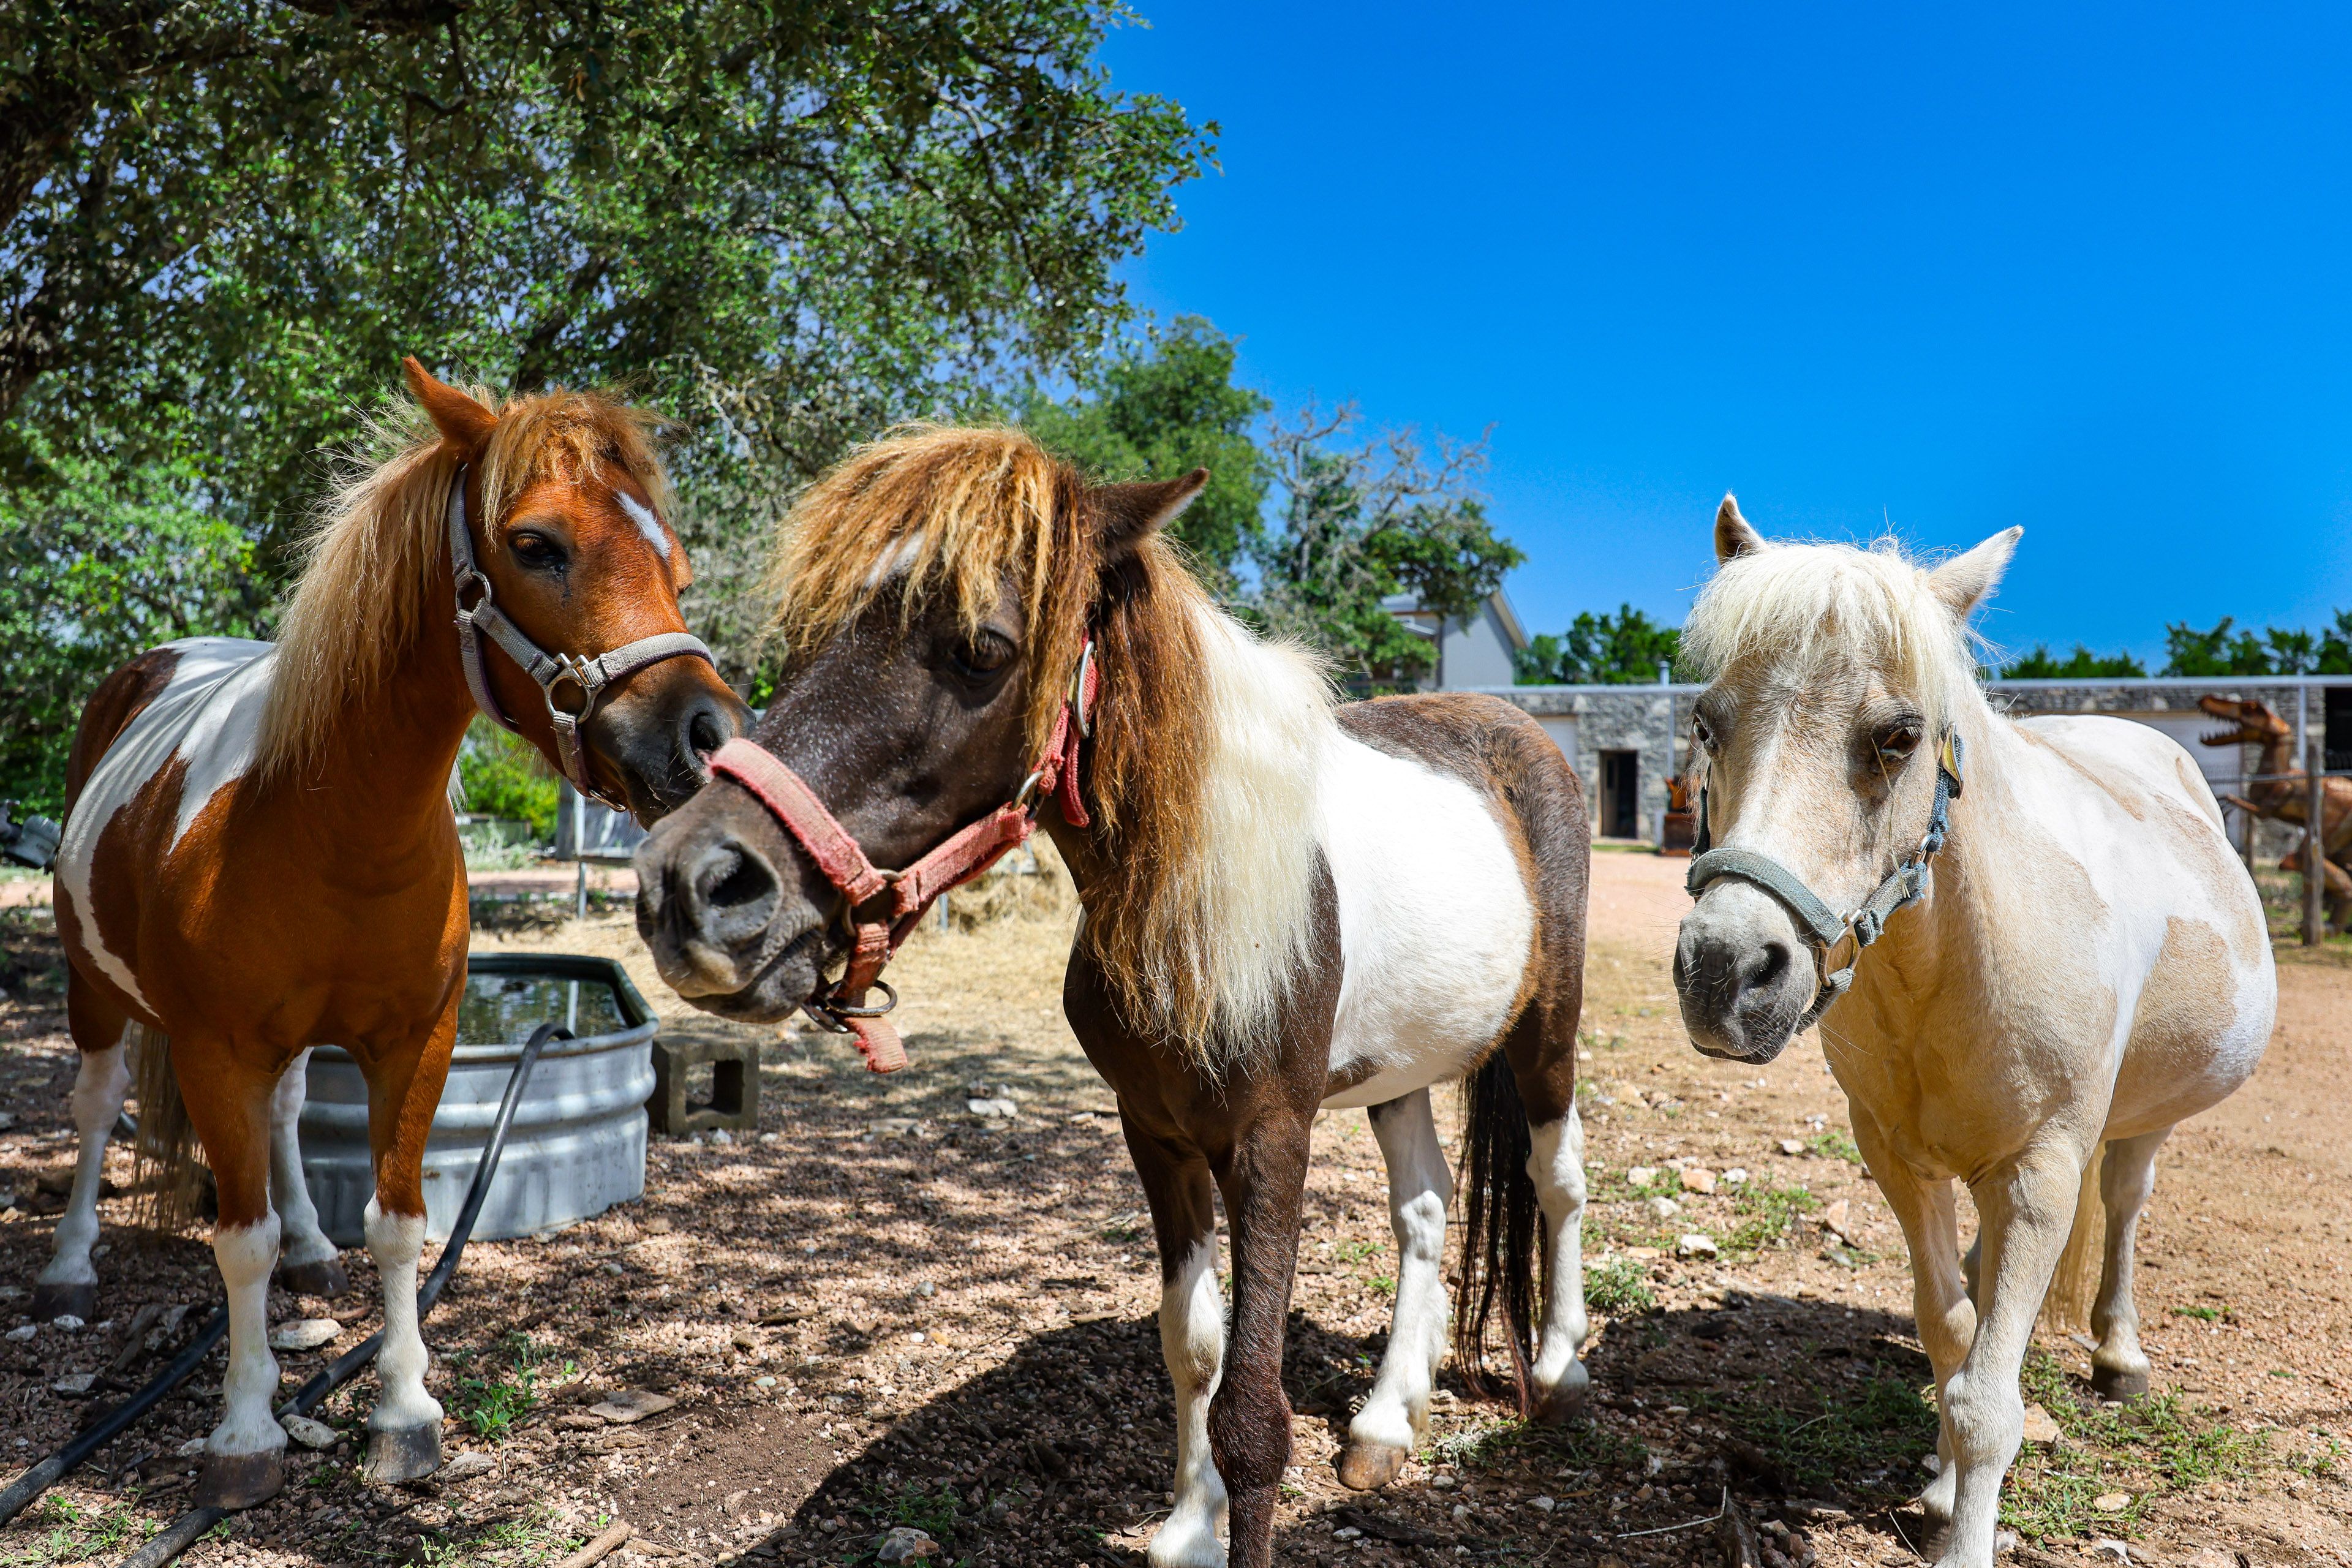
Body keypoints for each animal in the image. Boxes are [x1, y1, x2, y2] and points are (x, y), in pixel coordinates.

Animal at [44, 359, 746, 1508]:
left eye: (673, 560)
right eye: (535, 543)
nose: (706, 735)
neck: (329, 824)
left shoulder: (415, 1041)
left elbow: (400, 1222)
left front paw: (405, 1412)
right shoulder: (214, 1048)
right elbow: (237, 1241)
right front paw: (246, 1429)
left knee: (289, 1123)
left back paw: (311, 1249)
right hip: (93, 989)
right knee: (98, 1107)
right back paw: (65, 1269)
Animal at [629, 426, 1593, 1568]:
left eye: (982, 647)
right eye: (809, 632)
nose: (691, 887)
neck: (1195, 901)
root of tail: (1515, 729)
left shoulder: (1272, 1139)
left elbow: (1255, 1415)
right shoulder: (1156, 1132)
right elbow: (1195, 1345)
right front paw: (1187, 1525)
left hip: (1545, 1035)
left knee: (1555, 1179)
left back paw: (1562, 1374)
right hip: (1396, 1068)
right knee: (1426, 1207)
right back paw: (1386, 1423)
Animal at [1671, 500, 2274, 1568]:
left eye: (1898, 736)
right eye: (1707, 721)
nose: (1724, 974)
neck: (1953, 964)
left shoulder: (2041, 1170)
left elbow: (1989, 1401)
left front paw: (1968, 1521)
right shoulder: (1897, 1159)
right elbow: (1953, 1336)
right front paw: (1947, 1491)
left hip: (2139, 1123)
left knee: (2126, 1205)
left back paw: (2120, 1355)